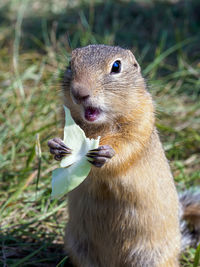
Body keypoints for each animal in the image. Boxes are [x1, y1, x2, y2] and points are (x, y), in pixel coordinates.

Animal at [47, 45, 199, 266]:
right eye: (70, 63)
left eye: (116, 66)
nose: (79, 92)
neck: (98, 127)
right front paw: (56, 146)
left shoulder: (141, 123)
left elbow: (126, 148)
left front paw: (106, 154)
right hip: (79, 248)